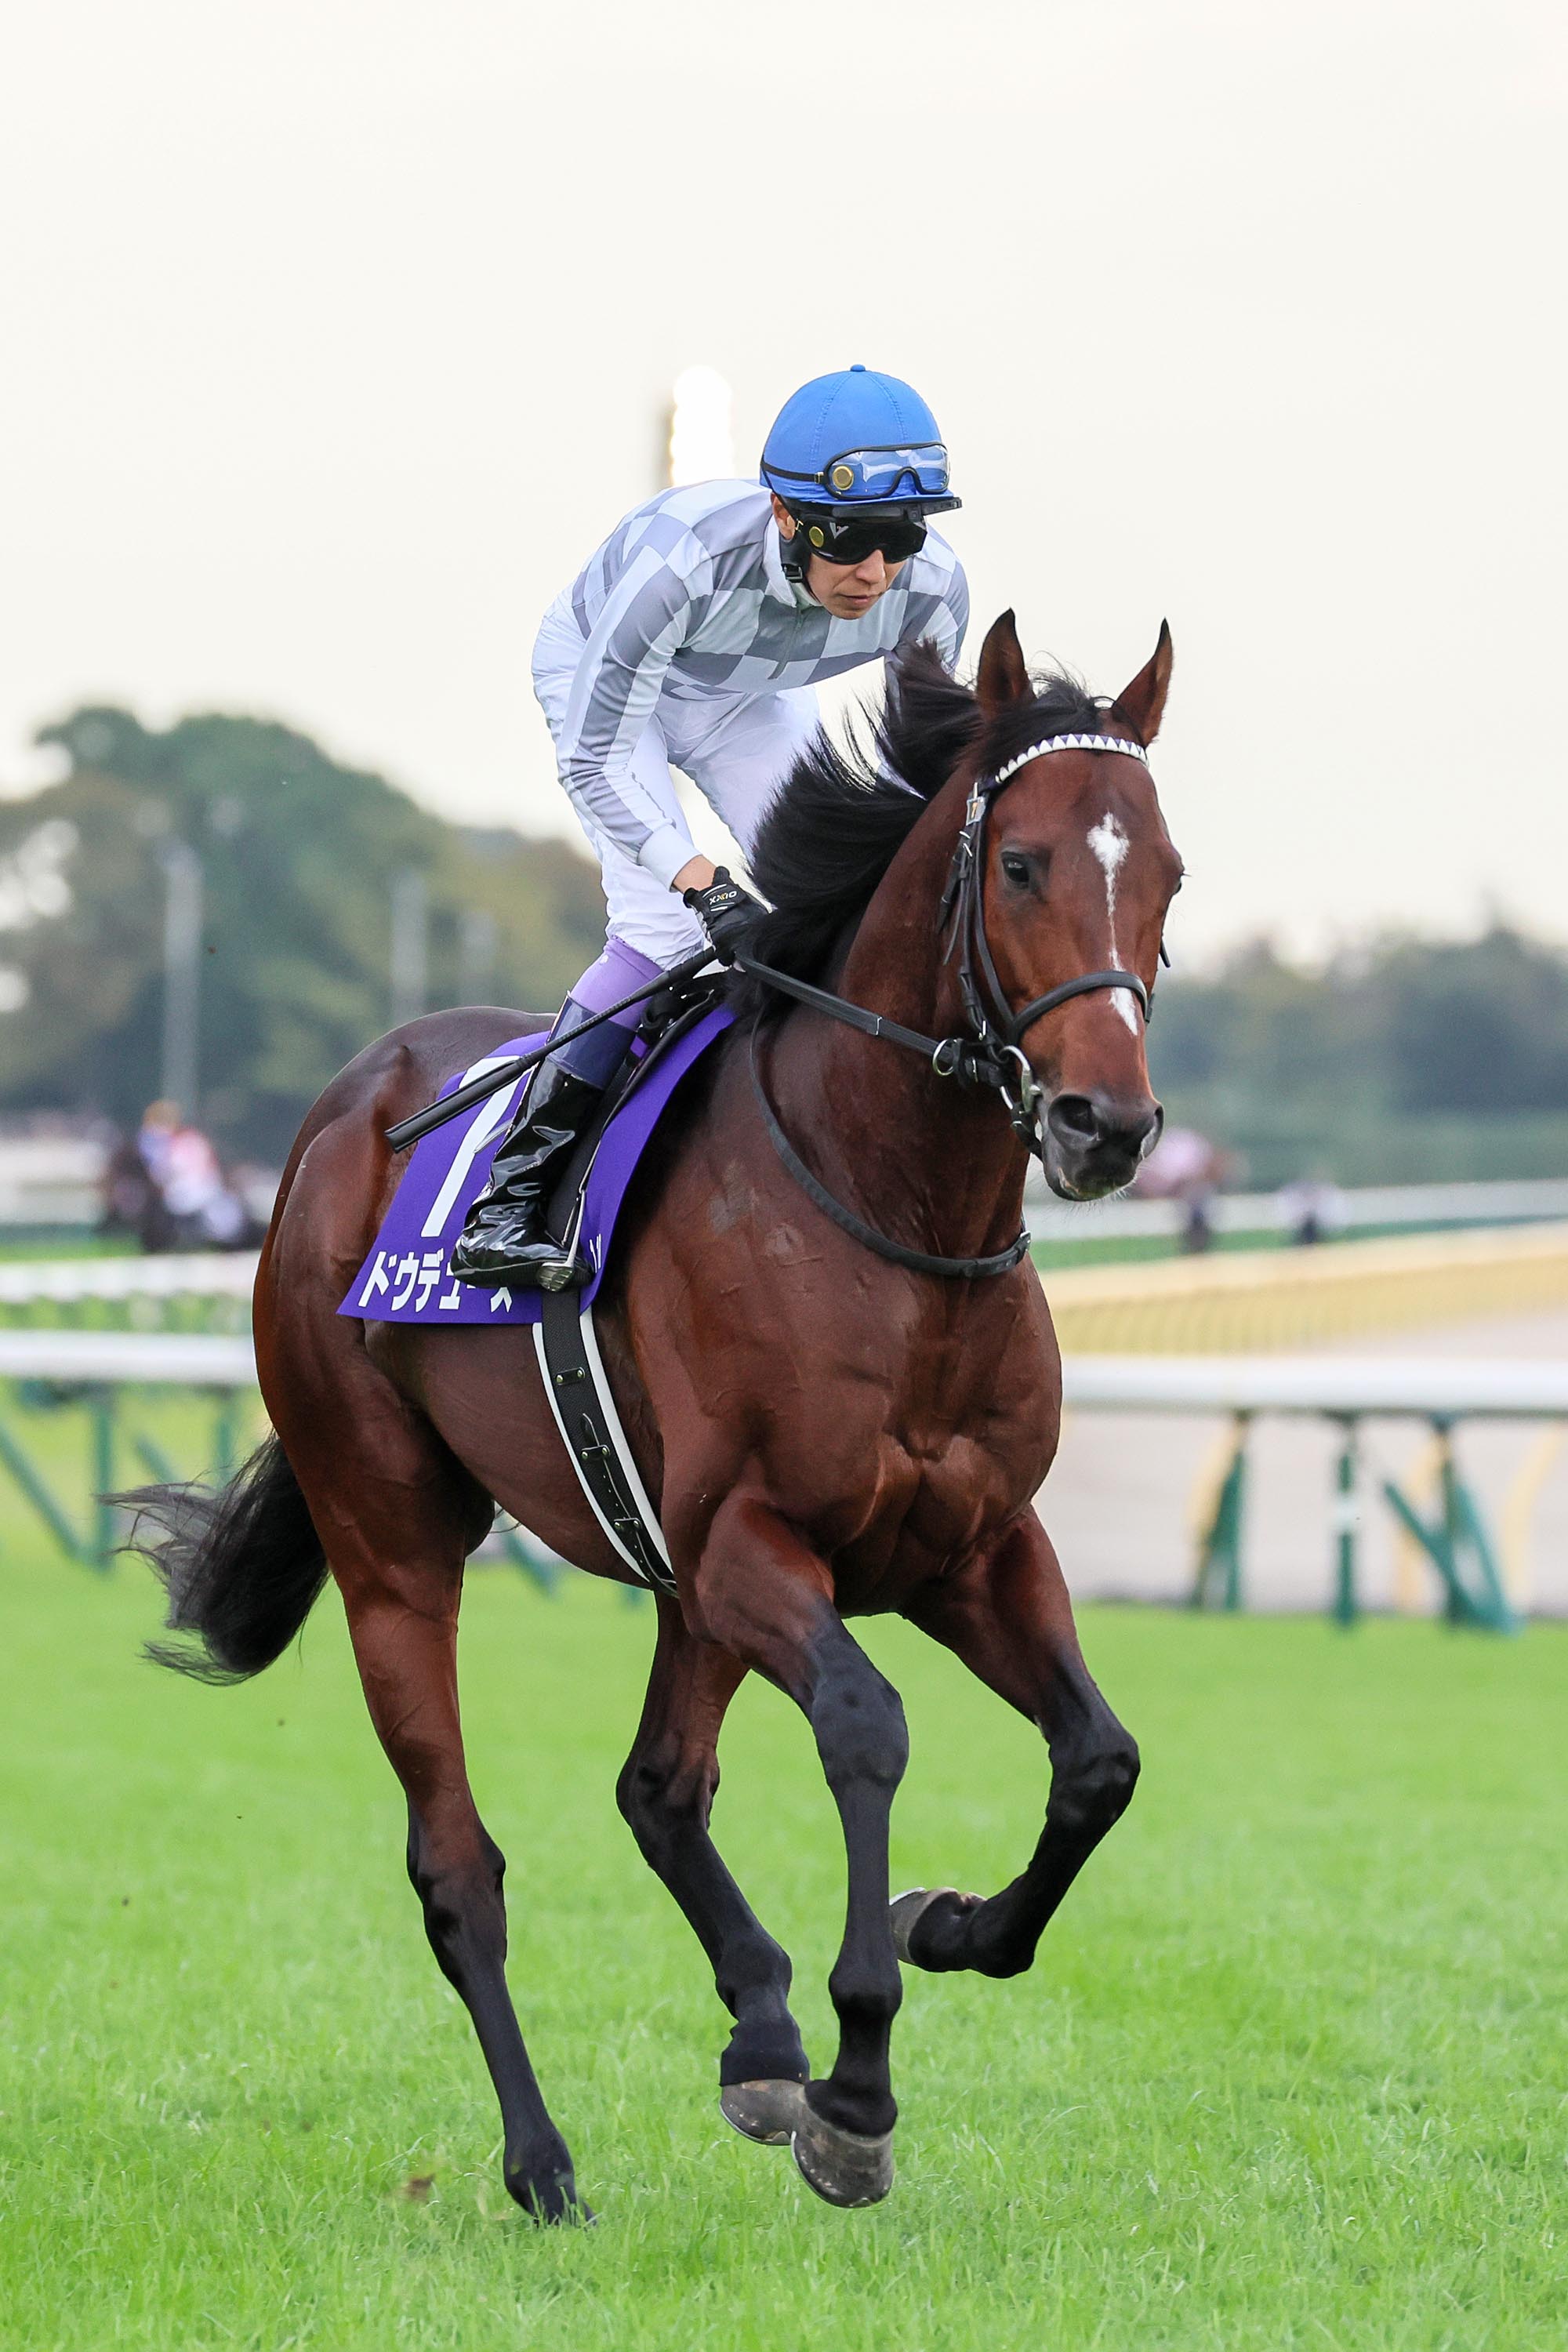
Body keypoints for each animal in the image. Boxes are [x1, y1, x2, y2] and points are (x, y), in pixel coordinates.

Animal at [126, 610, 1183, 2221]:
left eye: (1170, 873)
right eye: (1022, 865)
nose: (1105, 1127)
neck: (891, 1212)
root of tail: (335, 1119)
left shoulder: (970, 1545)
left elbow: (1100, 1762)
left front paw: (944, 1929)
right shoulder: (757, 1537)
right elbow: (868, 1730)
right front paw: (857, 2091)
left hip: (677, 1575)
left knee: (657, 1789)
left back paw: (757, 2032)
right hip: (394, 1544)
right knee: (458, 1866)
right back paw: (545, 2162)